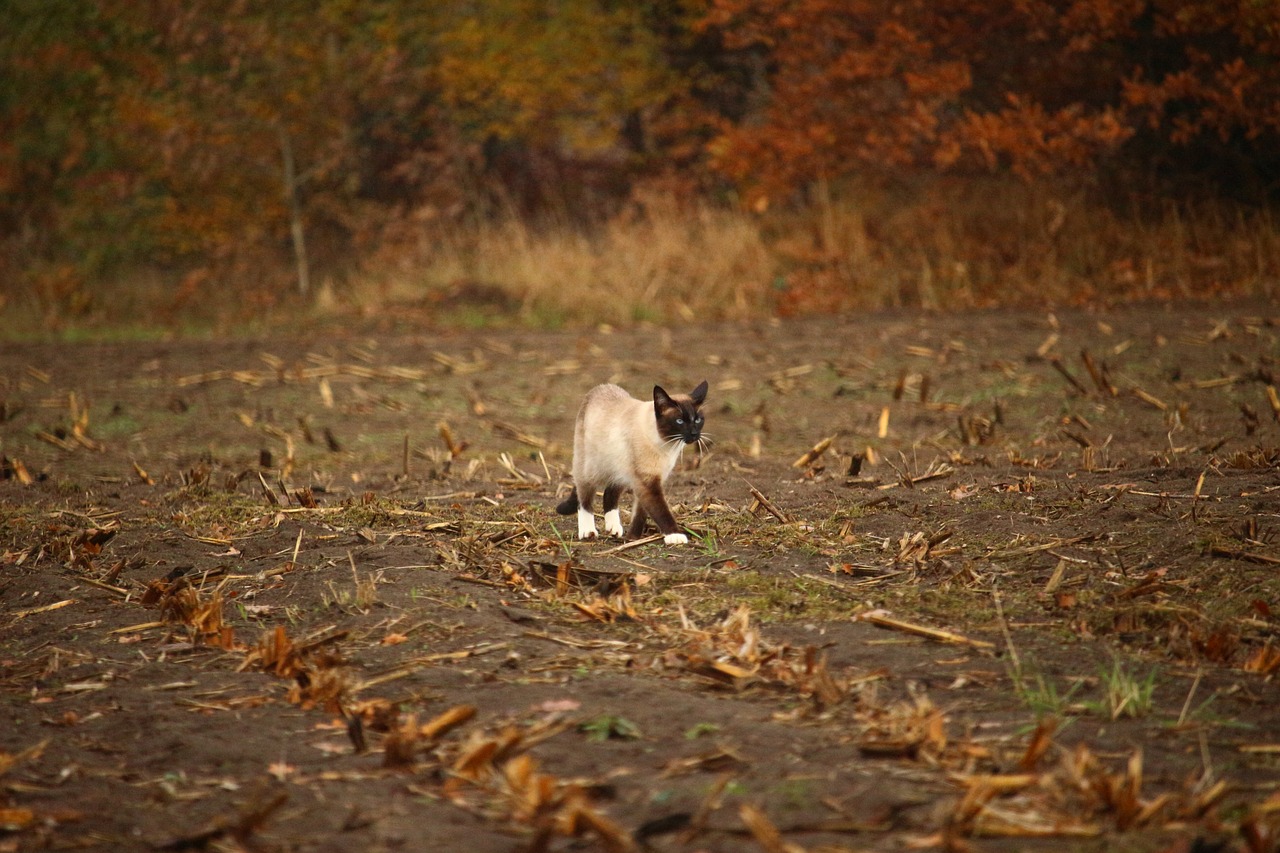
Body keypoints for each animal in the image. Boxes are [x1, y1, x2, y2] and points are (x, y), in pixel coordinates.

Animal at [552, 379, 711, 545]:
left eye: (698, 420)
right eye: (679, 421)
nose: (694, 434)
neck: (667, 446)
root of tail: (599, 388)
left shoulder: (648, 481)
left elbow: (640, 514)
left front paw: (632, 538)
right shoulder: (647, 483)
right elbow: (660, 510)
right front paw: (675, 535)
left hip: (619, 472)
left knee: (609, 494)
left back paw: (614, 529)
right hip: (589, 469)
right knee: (584, 498)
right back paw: (588, 532)